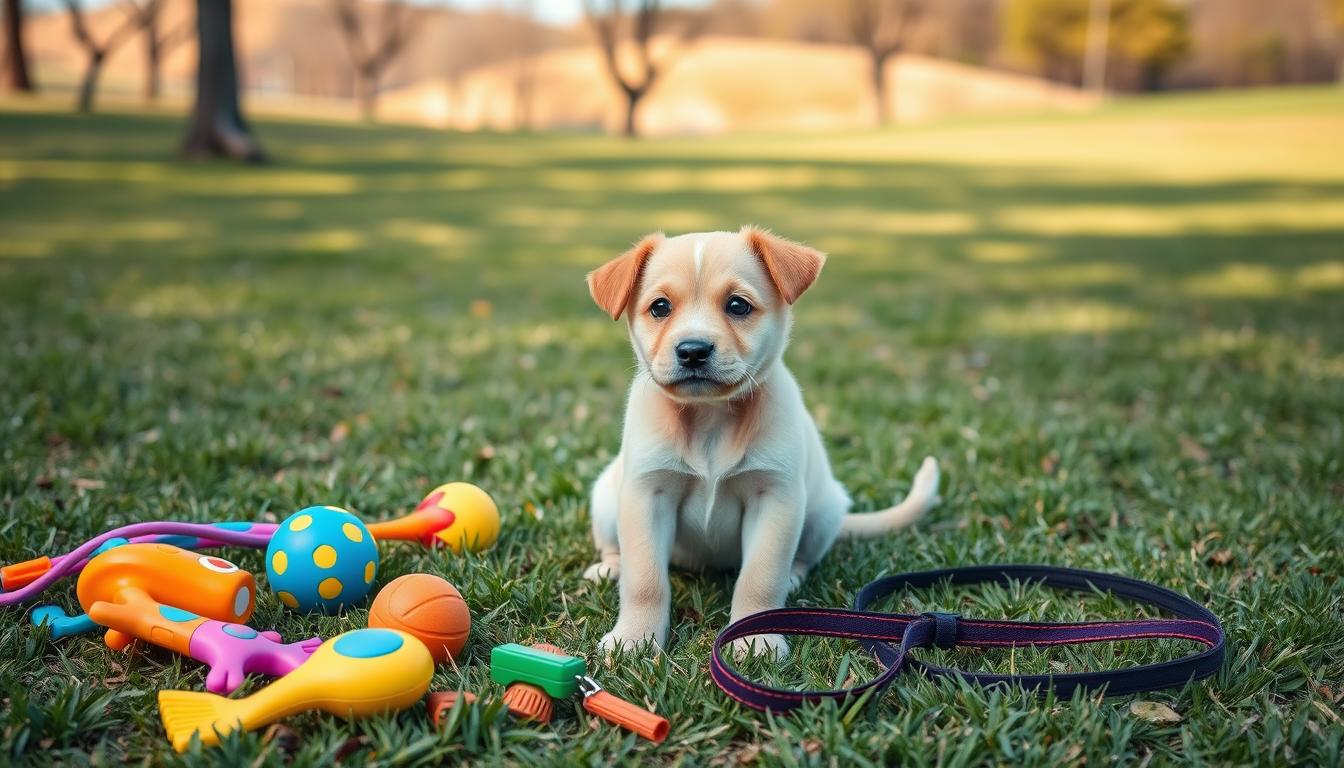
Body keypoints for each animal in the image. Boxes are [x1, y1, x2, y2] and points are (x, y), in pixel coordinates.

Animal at [583, 225, 940, 659]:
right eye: (660, 307)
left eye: (738, 305)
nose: (693, 350)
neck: (710, 417)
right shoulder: (646, 495)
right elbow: (645, 580)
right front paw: (634, 639)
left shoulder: (775, 498)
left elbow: (760, 577)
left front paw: (756, 639)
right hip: (606, 498)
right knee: (615, 549)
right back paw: (609, 568)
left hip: (820, 512)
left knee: (801, 559)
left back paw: (792, 578)